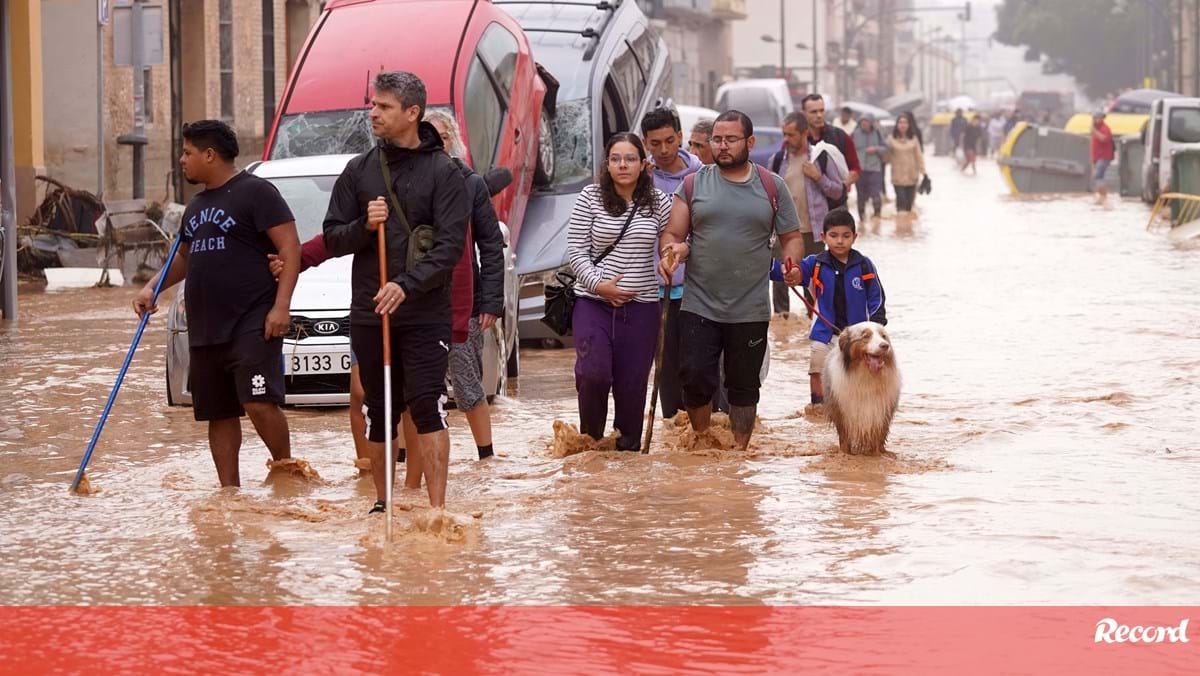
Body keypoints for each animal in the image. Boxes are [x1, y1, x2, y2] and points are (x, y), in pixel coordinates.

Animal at [825, 321, 902, 458]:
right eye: (866, 336)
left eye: (883, 336)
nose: (885, 346)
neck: (867, 375)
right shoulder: (841, 410)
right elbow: (845, 437)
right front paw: (845, 454)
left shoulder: (880, 411)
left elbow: (878, 435)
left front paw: (878, 454)